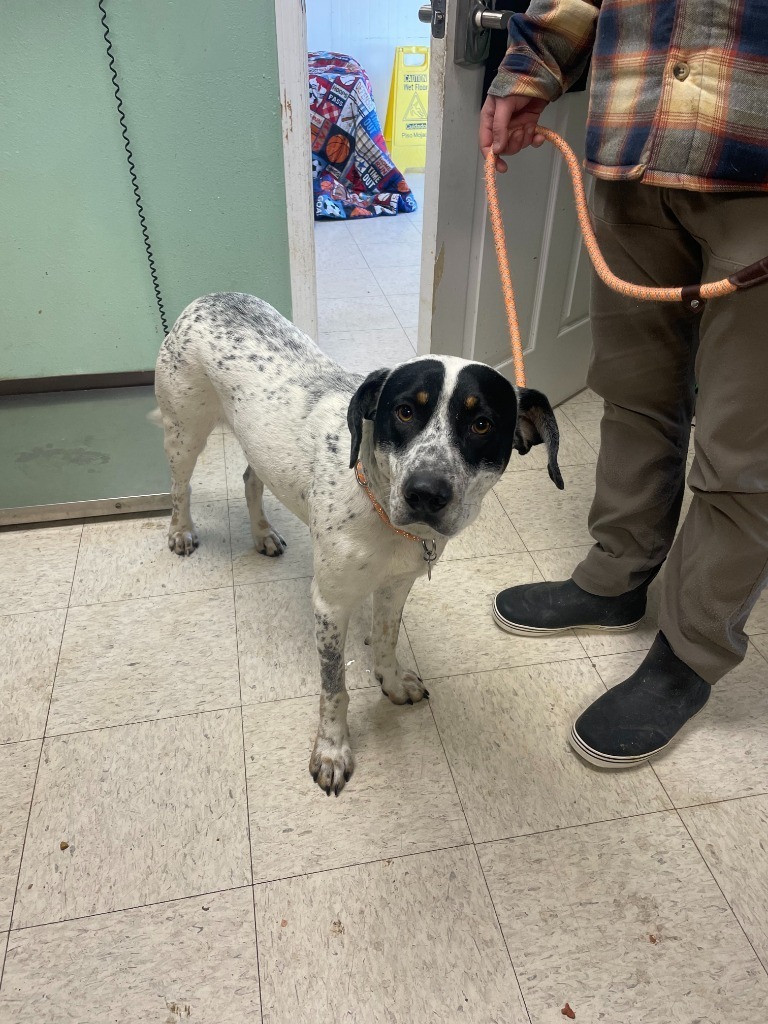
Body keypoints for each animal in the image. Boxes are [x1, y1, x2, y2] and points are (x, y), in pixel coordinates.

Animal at [151, 292, 565, 794]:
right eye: (404, 412)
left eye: (482, 423)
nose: (426, 493)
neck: (385, 516)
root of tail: (210, 296)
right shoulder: (329, 605)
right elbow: (334, 689)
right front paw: (332, 750)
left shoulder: (397, 585)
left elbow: (387, 638)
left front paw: (392, 682)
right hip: (184, 433)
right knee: (181, 487)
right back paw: (180, 531)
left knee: (251, 478)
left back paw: (263, 534)